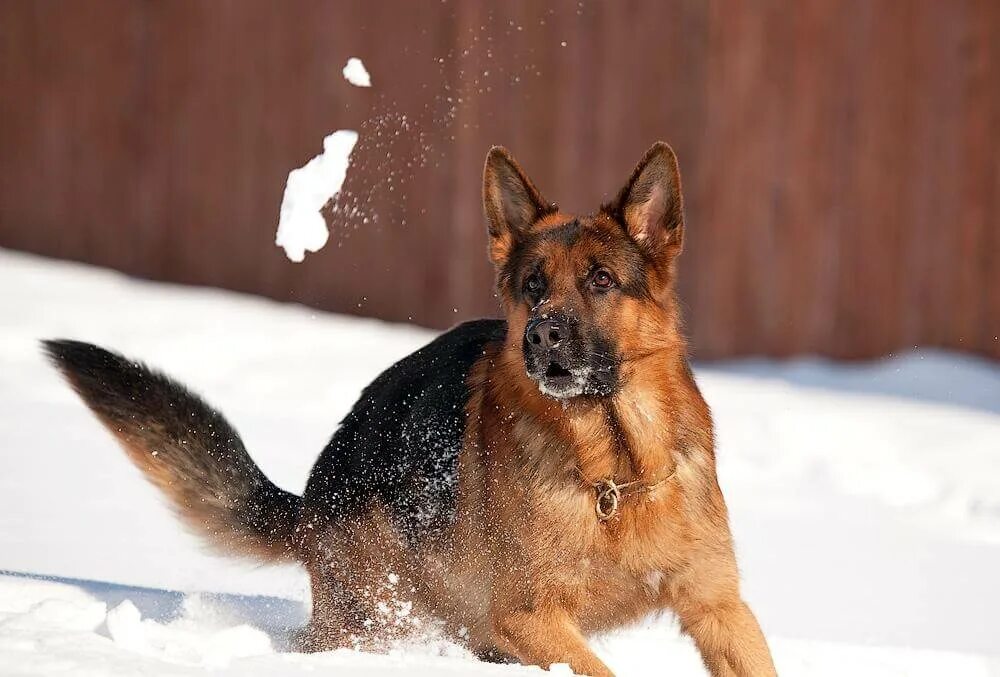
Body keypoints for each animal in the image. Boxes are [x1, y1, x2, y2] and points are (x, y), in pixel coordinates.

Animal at [47, 143, 776, 676]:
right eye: (533, 285)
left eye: (601, 279)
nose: (541, 335)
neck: (617, 468)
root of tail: (311, 498)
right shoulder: (530, 618)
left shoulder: (719, 608)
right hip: (377, 617)